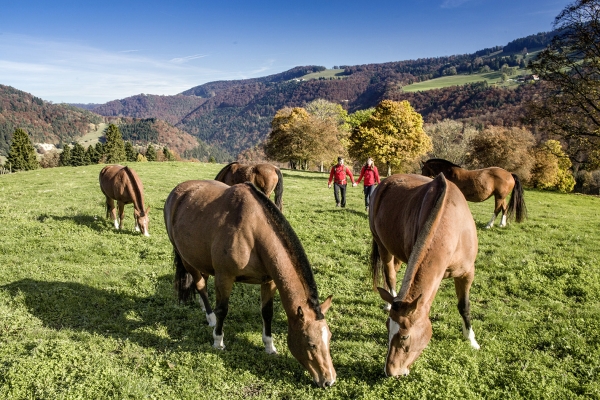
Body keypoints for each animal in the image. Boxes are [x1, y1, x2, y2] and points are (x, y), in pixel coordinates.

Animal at [162, 181, 336, 388]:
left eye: (330, 338)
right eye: (311, 344)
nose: (329, 380)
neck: (254, 232)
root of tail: (178, 191)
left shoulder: (269, 281)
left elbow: (267, 313)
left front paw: (269, 346)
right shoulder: (224, 277)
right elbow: (223, 310)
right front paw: (218, 341)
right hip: (188, 260)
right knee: (201, 285)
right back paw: (210, 317)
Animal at [368, 173, 480, 376]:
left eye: (405, 337)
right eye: (387, 329)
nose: (390, 371)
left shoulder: (467, 273)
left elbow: (464, 307)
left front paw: (471, 340)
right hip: (383, 247)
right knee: (390, 275)